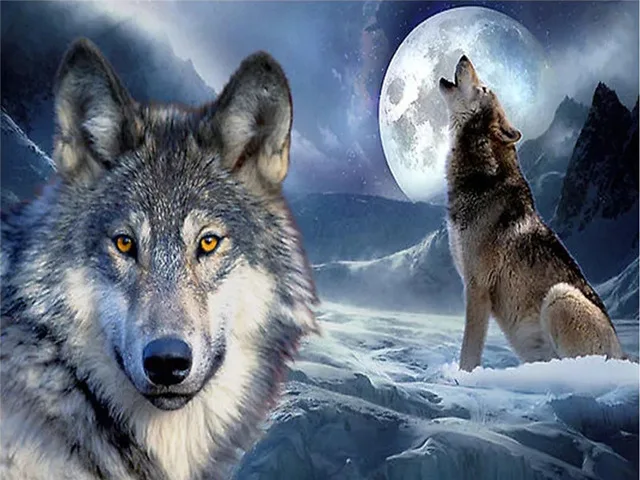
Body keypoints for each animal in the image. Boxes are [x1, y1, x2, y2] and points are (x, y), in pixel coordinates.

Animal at [439, 55, 626, 372]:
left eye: (484, 88)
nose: (464, 56)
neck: (481, 178)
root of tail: (625, 356)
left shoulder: (477, 287)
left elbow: (469, 352)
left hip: (559, 296)